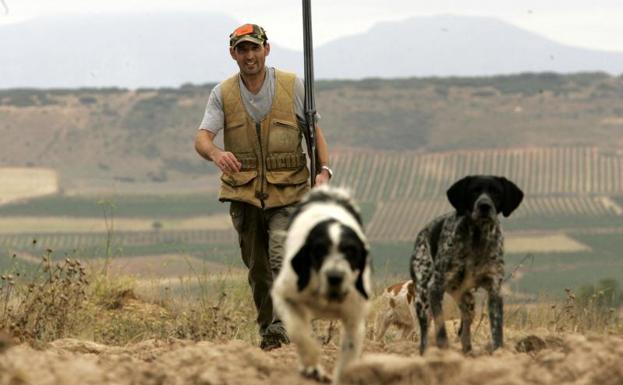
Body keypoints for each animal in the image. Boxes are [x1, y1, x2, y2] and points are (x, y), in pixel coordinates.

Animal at [272, 184, 370, 382]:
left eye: (351, 252)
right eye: (319, 251)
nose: (335, 276)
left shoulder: (354, 317)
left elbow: (348, 356)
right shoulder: (286, 296)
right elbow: (301, 335)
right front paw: (312, 367)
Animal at [412, 176, 524, 352]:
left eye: (496, 192)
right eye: (474, 191)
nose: (484, 206)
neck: (477, 238)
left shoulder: (494, 290)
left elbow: (497, 331)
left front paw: (499, 352)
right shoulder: (435, 288)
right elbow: (440, 326)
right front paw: (443, 347)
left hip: (468, 302)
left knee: (465, 329)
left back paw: (468, 352)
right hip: (422, 299)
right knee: (424, 336)